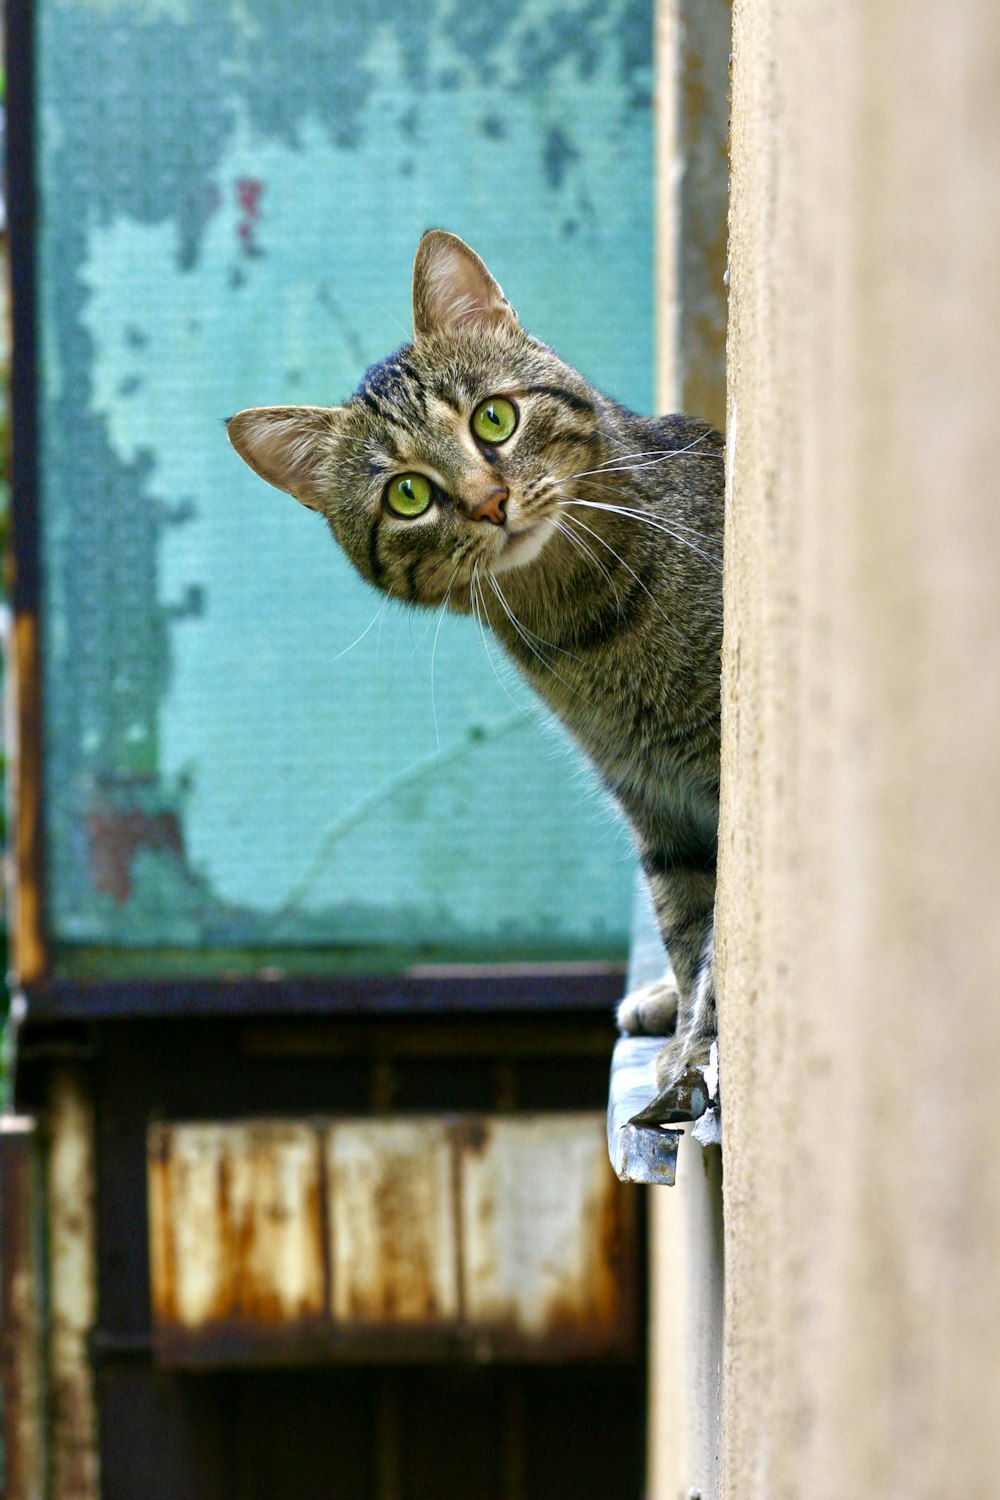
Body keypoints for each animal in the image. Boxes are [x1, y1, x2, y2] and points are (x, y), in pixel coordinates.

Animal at [230, 225, 722, 1116]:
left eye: (495, 418)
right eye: (409, 495)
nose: (491, 502)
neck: (583, 628)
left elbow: (718, 948)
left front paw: (696, 1053)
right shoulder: (657, 805)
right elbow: (686, 925)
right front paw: (684, 1037)